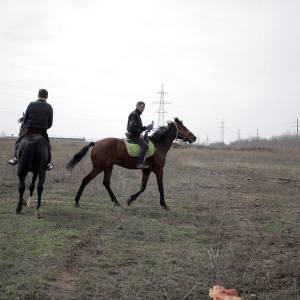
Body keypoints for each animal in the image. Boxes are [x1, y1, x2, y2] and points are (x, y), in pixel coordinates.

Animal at [66, 116, 197, 210]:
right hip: (99, 167)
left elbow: (143, 187)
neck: (158, 145)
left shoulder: (147, 170)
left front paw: (130, 199)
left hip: (108, 167)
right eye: (183, 127)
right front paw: (164, 205)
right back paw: (77, 201)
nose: (194, 137)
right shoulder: (159, 170)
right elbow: (160, 187)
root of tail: (96, 143)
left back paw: (116, 202)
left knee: (106, 183)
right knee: (85, 180)